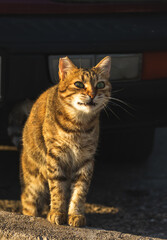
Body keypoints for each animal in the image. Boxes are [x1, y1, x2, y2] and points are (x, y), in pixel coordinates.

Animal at [19, 56, 111, 227]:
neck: (79, 126)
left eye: (100, 84)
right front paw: (57, 212)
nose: (92, 95)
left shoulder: (86, 159)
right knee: (28, 201)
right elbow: (58, 189)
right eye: (79, 84)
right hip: (34, 184)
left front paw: (75, 215)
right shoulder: (55, 155)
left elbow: (80, 191)